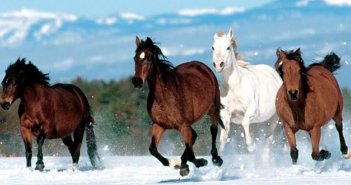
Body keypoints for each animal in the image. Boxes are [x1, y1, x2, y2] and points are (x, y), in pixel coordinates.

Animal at [132, 36, 226, 176]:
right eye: (135, 58)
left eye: (148, 58)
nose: (136, 81)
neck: (164, 97)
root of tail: (201, 66)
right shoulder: (159, 125)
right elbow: (152, 149)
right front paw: (175, 164)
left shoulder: (183, 125)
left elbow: (192, 154)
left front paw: (201, 162)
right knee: (194, 136)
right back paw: (183, 164)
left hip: (213, 109)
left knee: (213, 130)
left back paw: (215, 159)